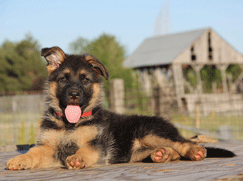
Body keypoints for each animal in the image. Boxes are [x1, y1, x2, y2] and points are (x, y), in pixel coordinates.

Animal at [6, 46, 235, 170]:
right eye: (63, 79)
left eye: (85, 80)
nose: (74, 95)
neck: (70, 124)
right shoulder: (47, 147)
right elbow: (33, 152)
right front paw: (19, 160)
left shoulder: (96, 144)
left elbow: (85, 149)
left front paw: (78, 158)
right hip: (136, 151)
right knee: (171, 150)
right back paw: (162, 155)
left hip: (150, 131)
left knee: (183, 142)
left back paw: (194, 151)